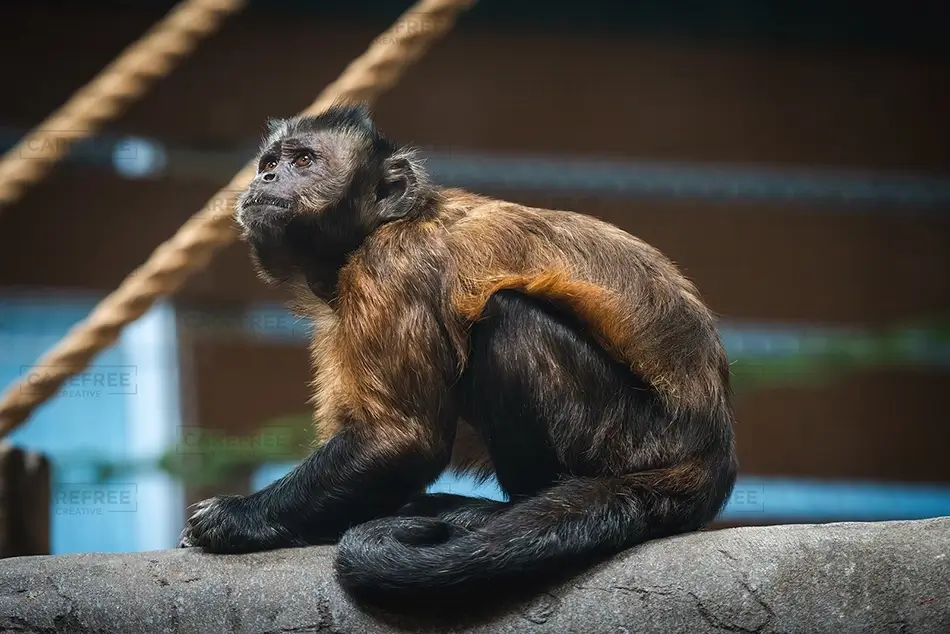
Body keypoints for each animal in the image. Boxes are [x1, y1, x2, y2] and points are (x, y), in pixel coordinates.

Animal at [177, 103, 738, 602]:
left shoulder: (389, 266)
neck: (382, 226)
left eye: (304, 161)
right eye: (270, 163)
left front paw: (238, 518)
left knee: (509, 319)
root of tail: (712, 451)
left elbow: (402, 441)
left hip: (631, 438)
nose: (268, 179)